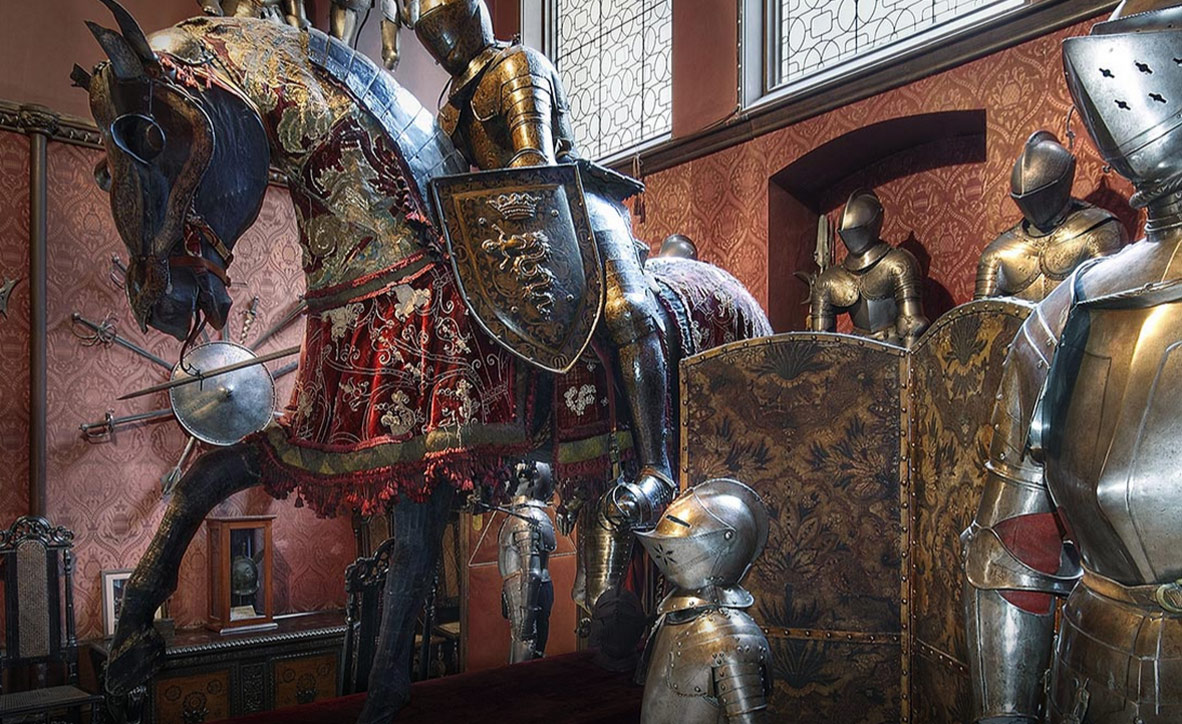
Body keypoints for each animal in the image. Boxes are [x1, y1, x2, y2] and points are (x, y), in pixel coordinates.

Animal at [78, 2, 770, 718]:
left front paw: (379, 701)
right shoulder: (326, 440)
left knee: (636, 336)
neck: (390, 253)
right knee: (611, 526)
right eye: (102, 170)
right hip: (602, 452)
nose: (158, 301)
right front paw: (130, 650)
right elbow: (203, 479)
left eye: (148, 136)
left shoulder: (430, 447)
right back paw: (619, 641)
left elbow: (408, 577)